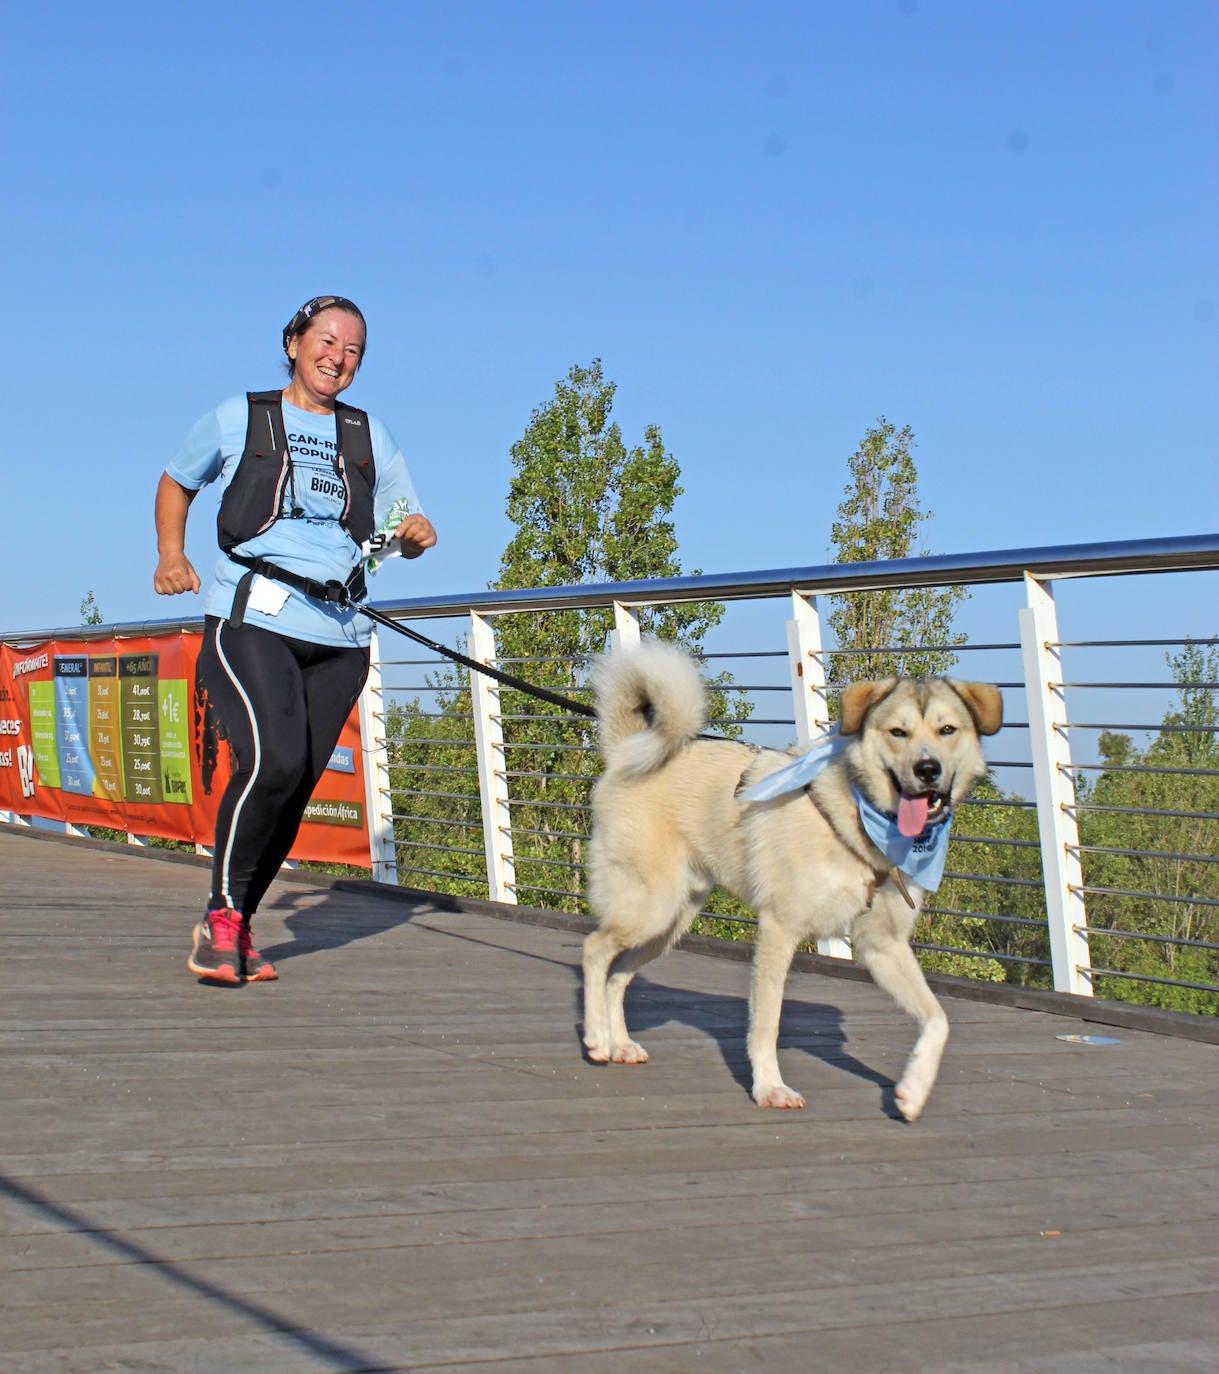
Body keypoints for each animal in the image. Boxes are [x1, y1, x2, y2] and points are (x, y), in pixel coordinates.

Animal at [585, 637, 1005, 1121]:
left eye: (947, 730)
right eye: (897, 733)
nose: (927, 769)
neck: (858, 822)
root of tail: (628, 752)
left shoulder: (882, 944)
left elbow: (938, 1019)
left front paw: (913, 1089)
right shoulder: (779, 929)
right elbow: (767, 1023)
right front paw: (769, 1087)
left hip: (669, 922)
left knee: (617, 974)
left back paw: (619, 1043)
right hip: (650, 908)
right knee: (594, 951)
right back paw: (596, 1038)